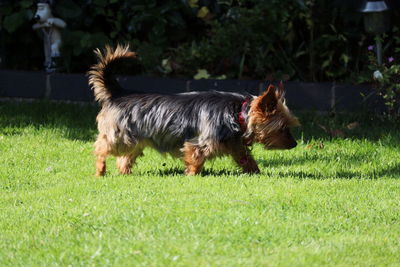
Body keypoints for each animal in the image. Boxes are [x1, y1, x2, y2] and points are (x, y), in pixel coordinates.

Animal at [88, 45, 300, 177]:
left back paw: (124, 172)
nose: (295, 144)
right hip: (120, 135)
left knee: (124, 158)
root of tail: (118, 94)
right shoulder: (200, 143)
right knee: (101, 147)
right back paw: (99, 170)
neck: (238, 114)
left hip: (135, 140)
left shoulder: (235, 144)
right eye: (283, 128)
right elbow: (196, 159)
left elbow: (247, 159)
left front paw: (256, 173)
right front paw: (192, 176)